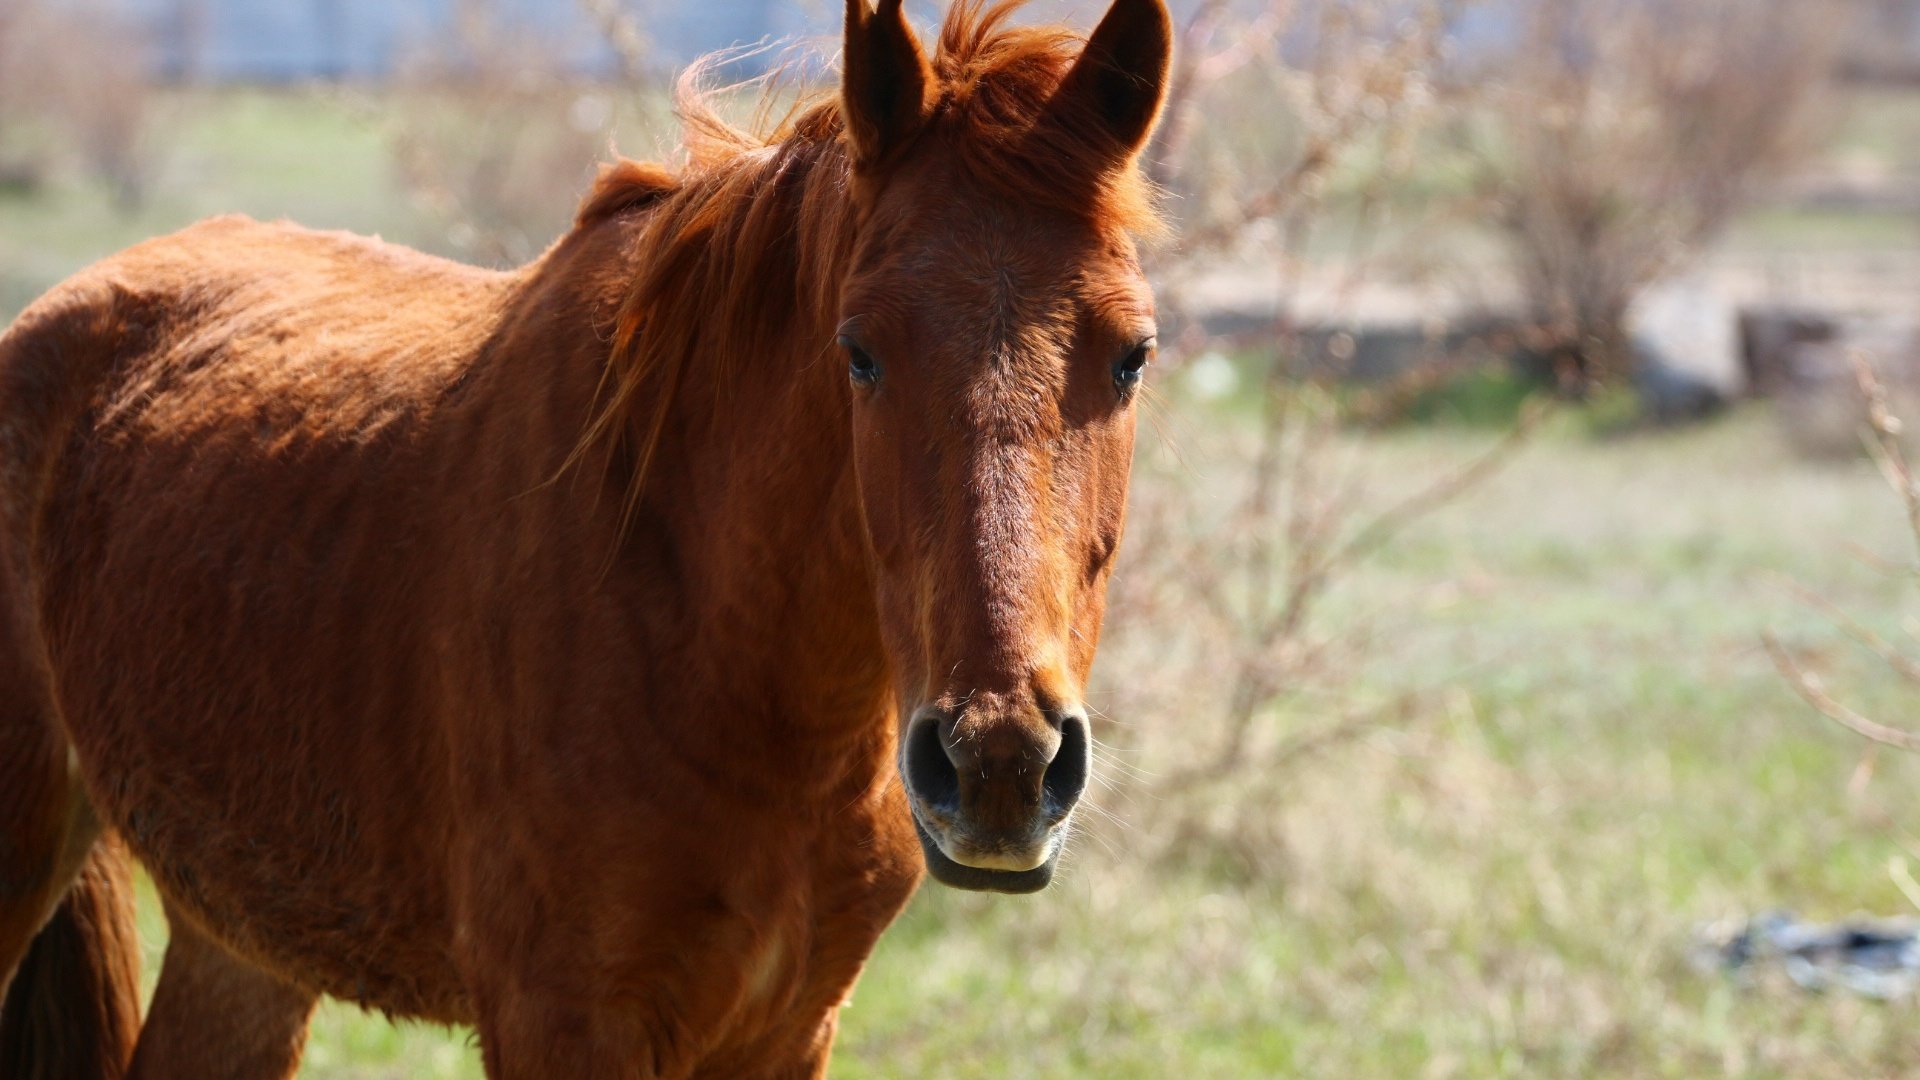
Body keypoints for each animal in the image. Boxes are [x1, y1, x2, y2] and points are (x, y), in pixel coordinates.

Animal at [0, 4, 1167, 1068]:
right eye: (860, 351)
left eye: (1133, 354)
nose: (999, 763)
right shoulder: (560, 1020)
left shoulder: (790, 1029)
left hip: (244, 944)